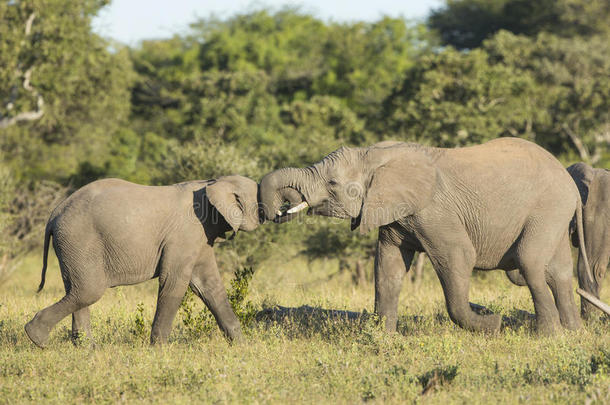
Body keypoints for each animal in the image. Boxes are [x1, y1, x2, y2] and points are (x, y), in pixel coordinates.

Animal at [24, 175, 258, 346]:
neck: (213, 182)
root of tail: (54, 214)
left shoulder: (200, 236)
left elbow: (209, 286)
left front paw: (242, 347)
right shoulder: (185, 233)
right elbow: (173, 281)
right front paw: (159, 349)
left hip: (71, 247)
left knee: (77, 290)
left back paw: (85, 348)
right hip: (78, 240)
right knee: (88, 291)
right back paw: (37, 338)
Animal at [256, 137, 588, 332]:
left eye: (333, 183)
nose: (277, 212)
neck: (375, 154)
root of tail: (569, 182)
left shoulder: (435, 211)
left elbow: (458, 257)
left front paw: (493, 325)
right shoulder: (395, 213)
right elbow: (387, 267)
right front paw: (383, 338)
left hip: (547, 209)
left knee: (530, 263)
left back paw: (548, 335)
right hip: (554, 214)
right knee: (557, 271)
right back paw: (573, 332)